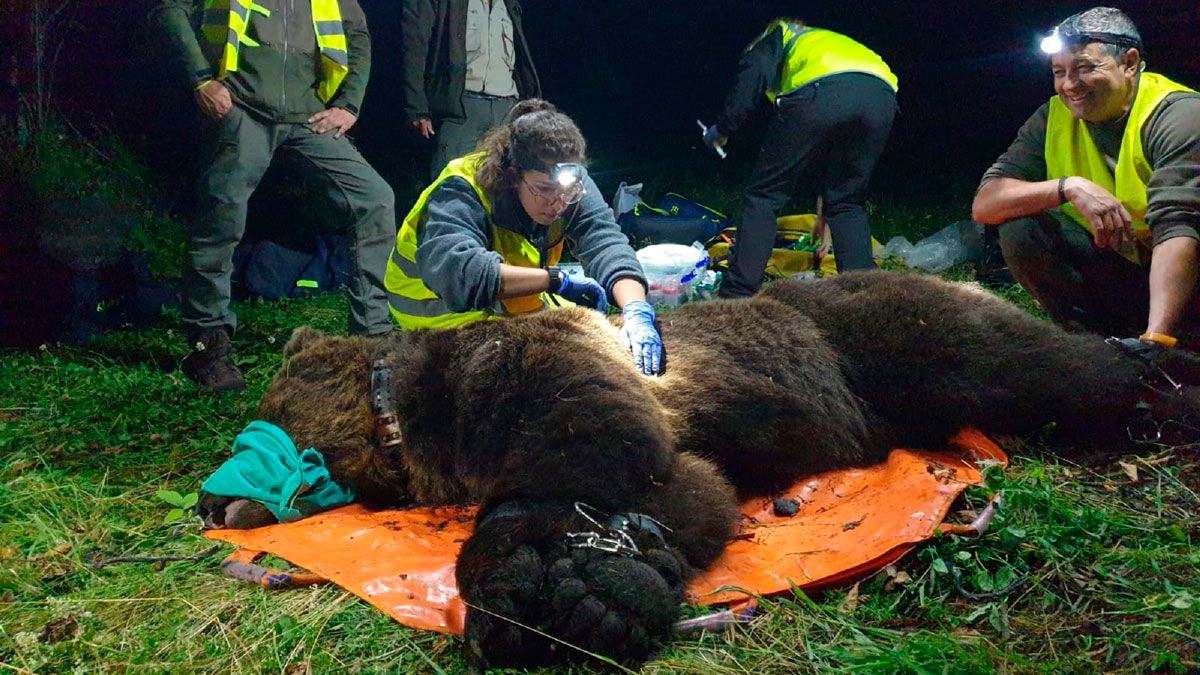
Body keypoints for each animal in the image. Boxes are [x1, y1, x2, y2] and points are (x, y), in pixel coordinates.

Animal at [199, 270, 1200, 662]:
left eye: (260, 434)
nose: (211, 501)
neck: (416, 420)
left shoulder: (546, 374)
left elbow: (601, 461)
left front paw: (568, 583)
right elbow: (682, 493)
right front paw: (585, 584)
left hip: (899, 338)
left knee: (1038, 363)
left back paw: (1157, 378)